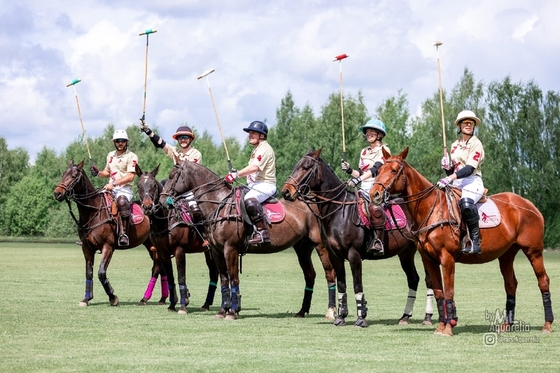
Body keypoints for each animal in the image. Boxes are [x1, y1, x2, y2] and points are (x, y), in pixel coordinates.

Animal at [53, 158, 170, 306]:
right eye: (63, 174)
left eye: (74, 176)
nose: (57, 193)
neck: (93, 211)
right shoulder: (86, 247)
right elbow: (89, 272)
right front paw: (86, 298)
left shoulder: (108, 246)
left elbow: (101, 272)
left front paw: (113, 297)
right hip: (150, 244)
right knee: (160, 266)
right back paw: (160, 298)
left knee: (156, 267)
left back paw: (146, 298)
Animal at [135, 164, 218, 312]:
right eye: (139, 185)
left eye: (153, 185)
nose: (148, 206)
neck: (164, 221)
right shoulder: (163, 253)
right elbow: (171, 277)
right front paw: (172, 304)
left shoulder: (179, 250)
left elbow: (181, 277)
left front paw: (183, 305)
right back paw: (206, 304)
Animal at [160, 160, 340, 320]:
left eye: (171, 176)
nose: (162, 201)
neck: (218, 203)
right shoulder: (216, 250)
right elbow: (224, 279)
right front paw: (223, 311)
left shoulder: (230, 248)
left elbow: (233, 278)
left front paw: (232, 312)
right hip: (302, 247)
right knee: (310, 275)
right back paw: (302, 311)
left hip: (320, 244)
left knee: (329, 273)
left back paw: (330, 312)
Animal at [282, 147, 436, 326]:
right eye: (296, 165)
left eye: (306, 167)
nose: (286, 191)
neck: (339, 212)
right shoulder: (335, 255)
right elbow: (342, 285)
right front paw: (340, 317)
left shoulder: (353, 254)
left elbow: (357, 285)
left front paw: (361, 318)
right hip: (405, 252)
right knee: (413, 278)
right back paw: (404, 316)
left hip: (423, 250)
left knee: (429, 279)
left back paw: (427, 317)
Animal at [370, 147, 552, 336]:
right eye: (379, 170)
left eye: (393, 170)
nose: (374, 194)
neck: (431, 208)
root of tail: (531, 205)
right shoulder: (428, 259)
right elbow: (439, 293)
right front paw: (441, 326)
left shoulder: (447, 257)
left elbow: (449, 291)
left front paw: (448, 328)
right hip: (507, 254)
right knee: (511, 284)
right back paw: (506, 325)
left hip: (533, 250)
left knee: (543, 280)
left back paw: (547, 325)